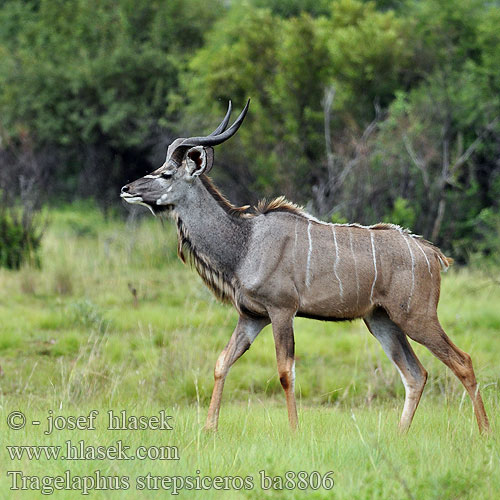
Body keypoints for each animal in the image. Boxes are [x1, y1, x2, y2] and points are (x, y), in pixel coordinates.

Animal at [120, 100, 488, 434]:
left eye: (166, 173)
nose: (126, 189)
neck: (246, 243)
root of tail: (431, 254)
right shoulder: (251, 317)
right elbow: (222, 362)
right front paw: (210, 428)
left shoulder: (282, 310)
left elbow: (286, 372)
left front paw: (294, 430)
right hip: (381, 320)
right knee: (415, 373)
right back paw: (400, 435)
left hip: (417, 317)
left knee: (463, 362)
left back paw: (484, 431)